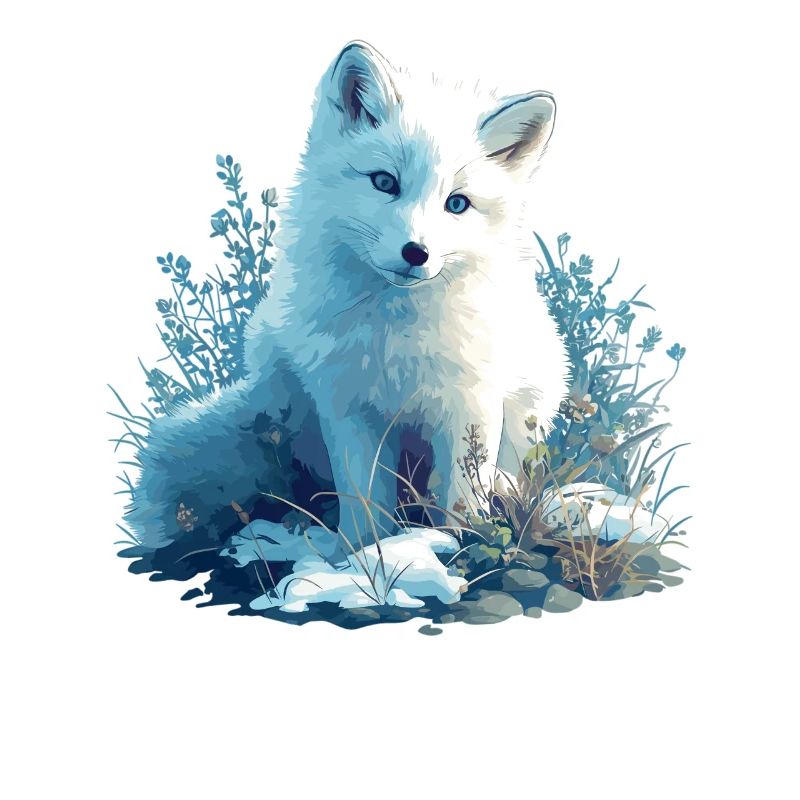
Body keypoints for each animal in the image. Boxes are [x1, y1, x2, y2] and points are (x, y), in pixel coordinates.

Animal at [127, 41, 570, 550]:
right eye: (384, 181)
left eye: (457, 203)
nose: (416, 252)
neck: (397, 338)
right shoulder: (347, 405)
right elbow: (362, 495)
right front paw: (360, 554)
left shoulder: (470, 402)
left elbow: (461, 495)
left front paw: (464, 544)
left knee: (502, 478)